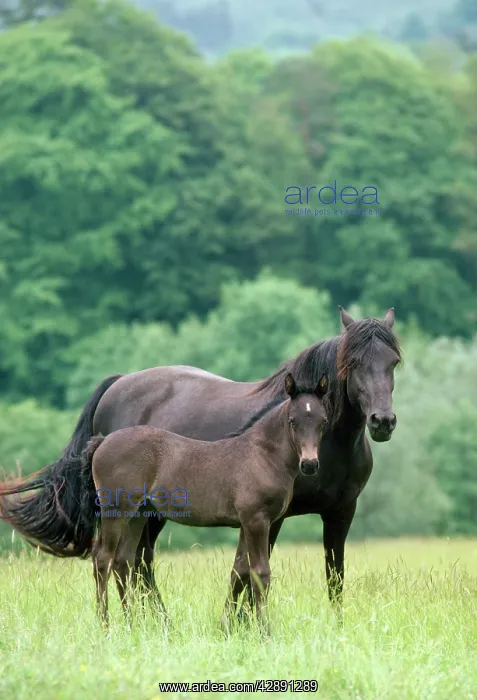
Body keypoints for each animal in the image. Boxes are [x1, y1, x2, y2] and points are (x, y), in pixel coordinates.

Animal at [84, 372, 328, 627]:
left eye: (323, 421)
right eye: (293, 421)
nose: (309, 464)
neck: (262, 455)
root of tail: (102, 442)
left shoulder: (247, 522)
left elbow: (241, 570)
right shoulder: (257, 520)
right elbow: (260, 573)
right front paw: (264, 629)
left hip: (138, 513)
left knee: (123, 560)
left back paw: (131, 623)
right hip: (116, 511)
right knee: (102, 557)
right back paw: (105, 624)